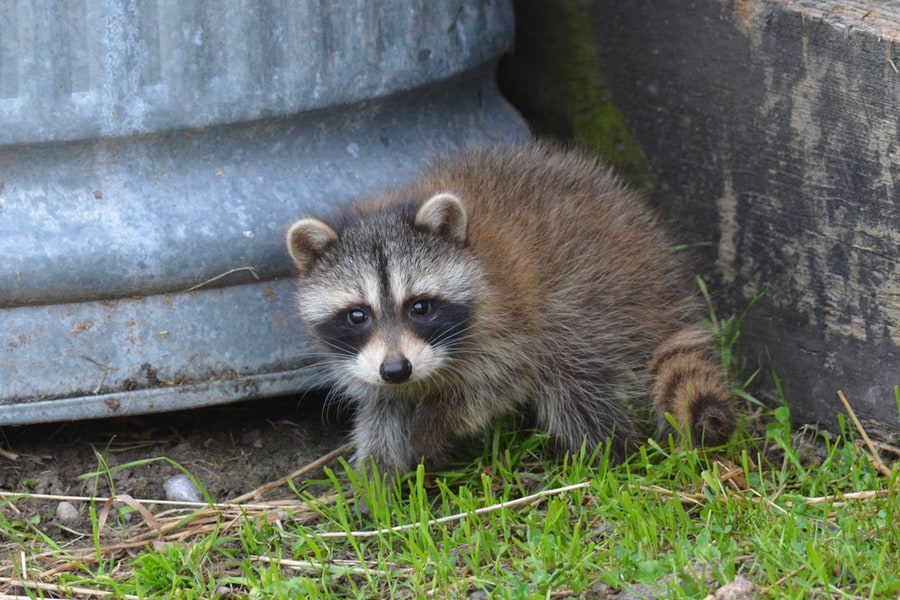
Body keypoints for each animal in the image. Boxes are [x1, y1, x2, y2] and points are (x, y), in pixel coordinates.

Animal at [284, 142, 736, 478]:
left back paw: (607, 454)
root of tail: (657, 268)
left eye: (419, 306)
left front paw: (434, 425)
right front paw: (377, 480)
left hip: (588, 305)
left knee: (575, 388)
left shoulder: (511, 322)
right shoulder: (365, 361)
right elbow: (382, 411)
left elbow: (492, 387)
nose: (397, 370)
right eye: (357, 315)